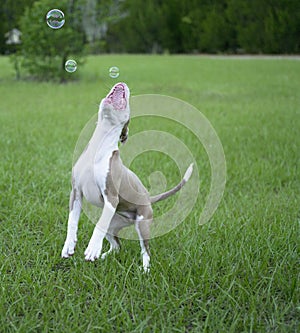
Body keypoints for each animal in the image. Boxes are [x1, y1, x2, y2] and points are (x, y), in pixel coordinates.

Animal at [61, 81, 193, 272]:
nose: (122, 83)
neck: (98, 148)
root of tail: (148, 198)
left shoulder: (111, 197)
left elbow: (99, 226)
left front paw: (92, 248)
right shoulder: (76, 192)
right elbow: (72, 221)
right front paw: (69, 246)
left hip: (142, 224)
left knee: (145, 250)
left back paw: (144, 270)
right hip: (113, 223)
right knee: (117, 245)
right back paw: (104, 256)